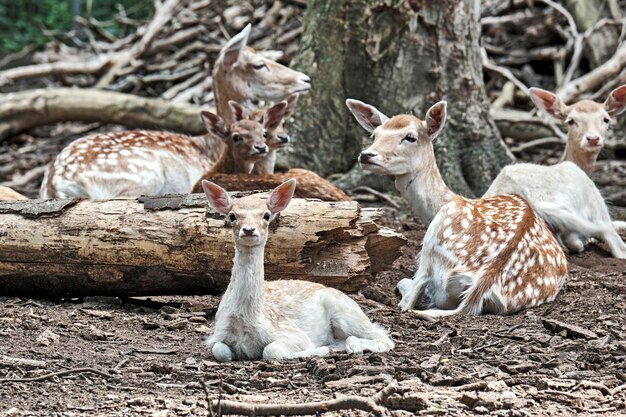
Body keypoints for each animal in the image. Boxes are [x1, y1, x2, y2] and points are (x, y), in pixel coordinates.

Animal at [202, 177, 392, 360]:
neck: (245, 319)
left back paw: (352, 347)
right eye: (232, 216)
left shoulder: (291, 332)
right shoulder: (218, 334)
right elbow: (220, 351)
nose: (248, 230)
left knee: (383, 337)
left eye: (266, 215)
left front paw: (317, 351)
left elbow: (270, 350)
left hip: (347, 314)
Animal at [344, 98, 568, 318]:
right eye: (375, 134)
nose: (367, 155)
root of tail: (483, 284)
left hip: (437, 238)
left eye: (410, 137)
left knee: (411, 296)